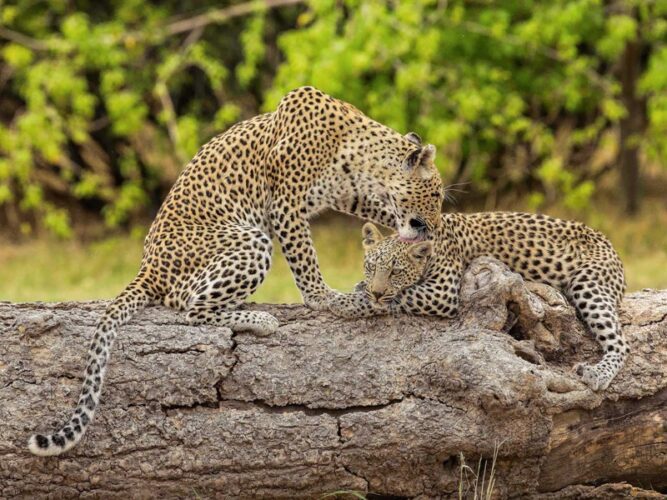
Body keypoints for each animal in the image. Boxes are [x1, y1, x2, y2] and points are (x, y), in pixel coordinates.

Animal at [28, 86, 444, 456]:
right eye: (437, 194)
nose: (432, 227)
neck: (359, 152)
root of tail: (148, 267)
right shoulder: (286, 201)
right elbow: (305, 260)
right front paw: (331, 301)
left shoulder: (348, 193)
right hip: (250, 239)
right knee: (190, 306)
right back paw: (260, 320)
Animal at [328, 211, 628, 391]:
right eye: (370, 267)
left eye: (395, 271)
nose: (377, 290)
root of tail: (612, 248)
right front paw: (361, 288)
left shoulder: (442, 292)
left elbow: (401, 295)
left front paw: (344, 301)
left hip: (588, 282)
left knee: (622, 343)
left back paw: (598, 373)